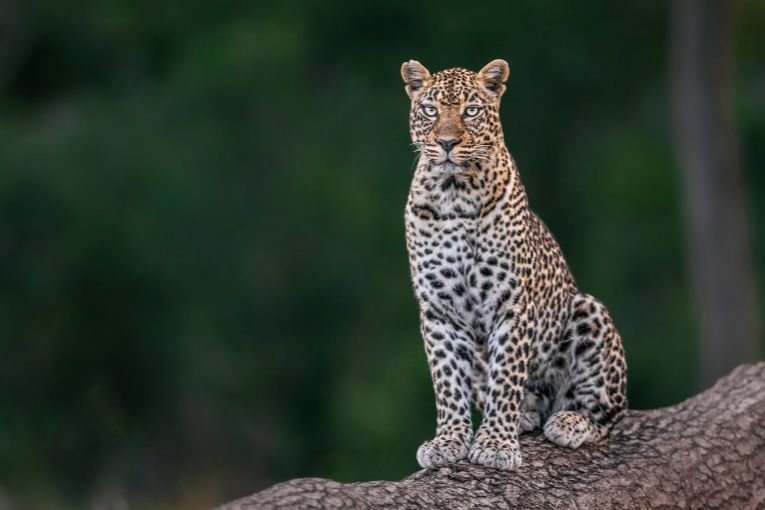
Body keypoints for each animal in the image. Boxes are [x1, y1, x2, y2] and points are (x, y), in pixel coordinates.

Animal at [401, 59, 627, 471]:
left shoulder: (511, 304)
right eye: (430, 110)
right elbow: (447, 381)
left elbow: (506, 375)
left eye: (471, 111)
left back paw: (569, 421)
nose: (446, 143)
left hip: (589, 312)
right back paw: (526, 414)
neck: (454, 194)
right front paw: (448, 440)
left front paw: (495, 444)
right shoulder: (438, 311)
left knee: (608, 412)